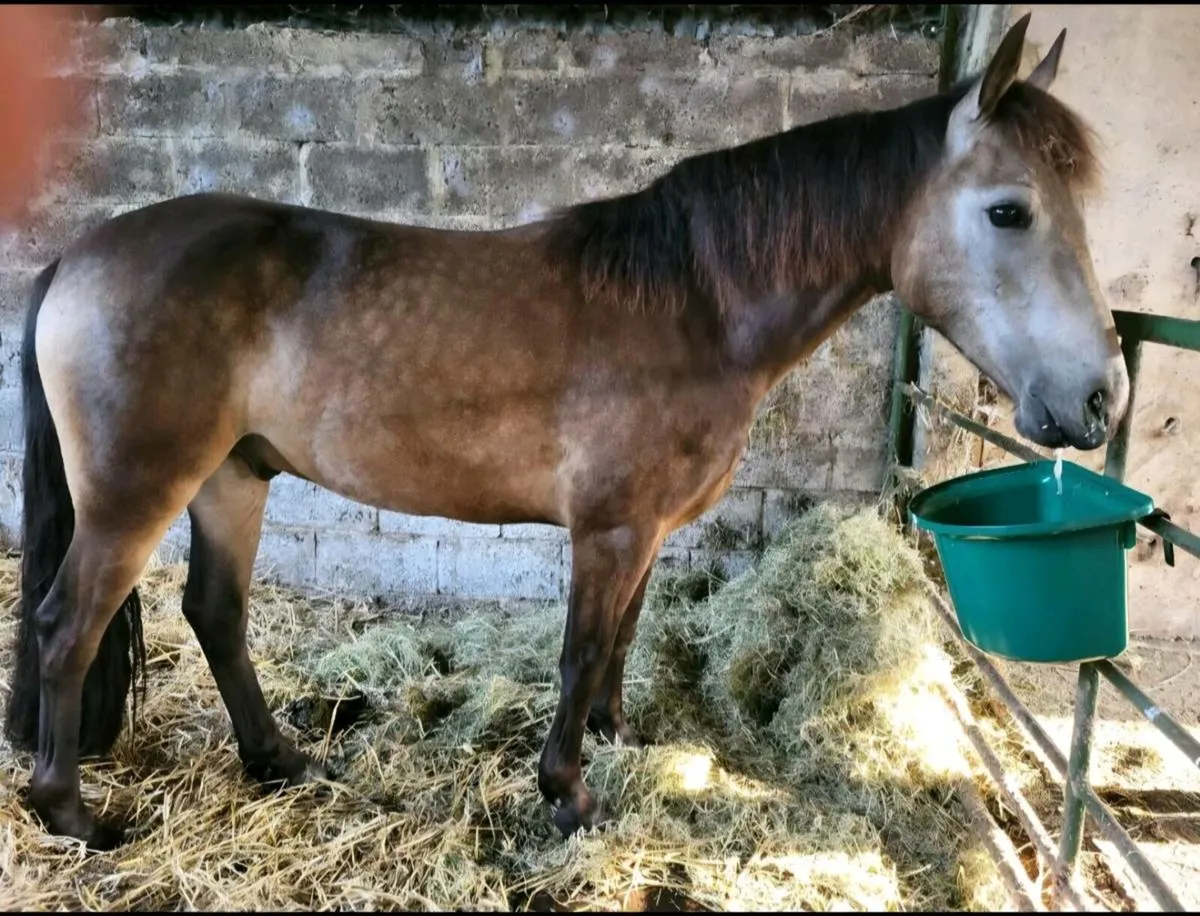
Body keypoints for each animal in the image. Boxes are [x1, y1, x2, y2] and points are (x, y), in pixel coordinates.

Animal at [4, 13, 1123, 849]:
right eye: (1010, 211)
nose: (1099, 397)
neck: (696, 306)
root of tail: (79, 257)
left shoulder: (649, 530)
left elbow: (622, 641)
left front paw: (617, 742)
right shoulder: (610, 528)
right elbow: (583, 649)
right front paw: (568, 794)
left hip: (234, 476)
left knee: (216, 614)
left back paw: (277, 759)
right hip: (138, 492)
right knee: (66, 626)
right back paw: (73, 814)